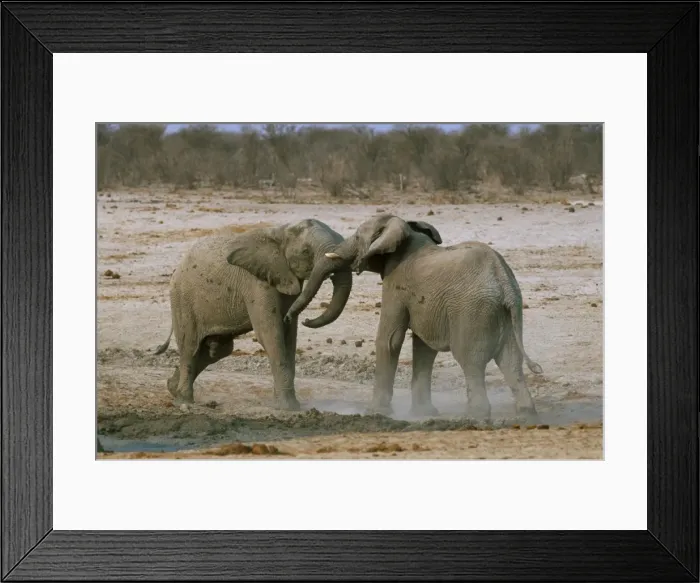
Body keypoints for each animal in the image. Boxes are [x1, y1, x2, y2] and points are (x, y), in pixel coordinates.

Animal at [154, 219, 352, 410]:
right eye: (306, 251)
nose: (305, 319)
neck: (280, 231)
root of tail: (177, 269)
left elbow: (289, 338)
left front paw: (286, 403)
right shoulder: (256, 282)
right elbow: (271, 334)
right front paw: (288, 407)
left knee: (219, 350)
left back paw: (172, 387)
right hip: (183, 300)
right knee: (190, 347)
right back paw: (184, 401)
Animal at [284, 213, 542, 422]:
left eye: (357, 237)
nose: (294, 319)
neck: (405, 231)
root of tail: (504, 282)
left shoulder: (396, 283)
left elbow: (389, 339)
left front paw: (375, 412)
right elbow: (424, 348)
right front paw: (423, 413)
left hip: (473, 312)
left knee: (471, 361)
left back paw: (475, 416)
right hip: (506, 314)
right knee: (511, 363)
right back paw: (526, 414)